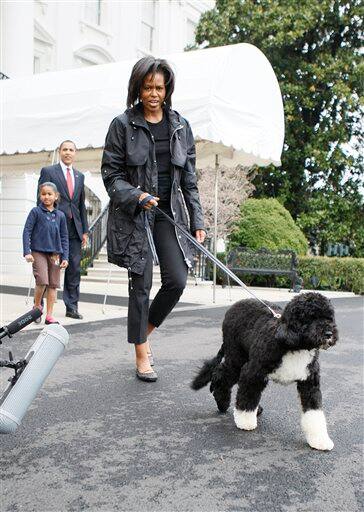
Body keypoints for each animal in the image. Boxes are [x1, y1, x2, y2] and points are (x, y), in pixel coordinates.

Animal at [192, 294, 336, 450]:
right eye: (311, 317)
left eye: (329, 317)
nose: (329, 333)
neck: (295, 346)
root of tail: (234, 306)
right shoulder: (253, 371)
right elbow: (247, 396)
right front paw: (245, 421)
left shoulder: (309, 382)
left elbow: (314, 411)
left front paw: (320, 439)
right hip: (237, 357)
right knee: (221, 374)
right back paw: (222, 402)